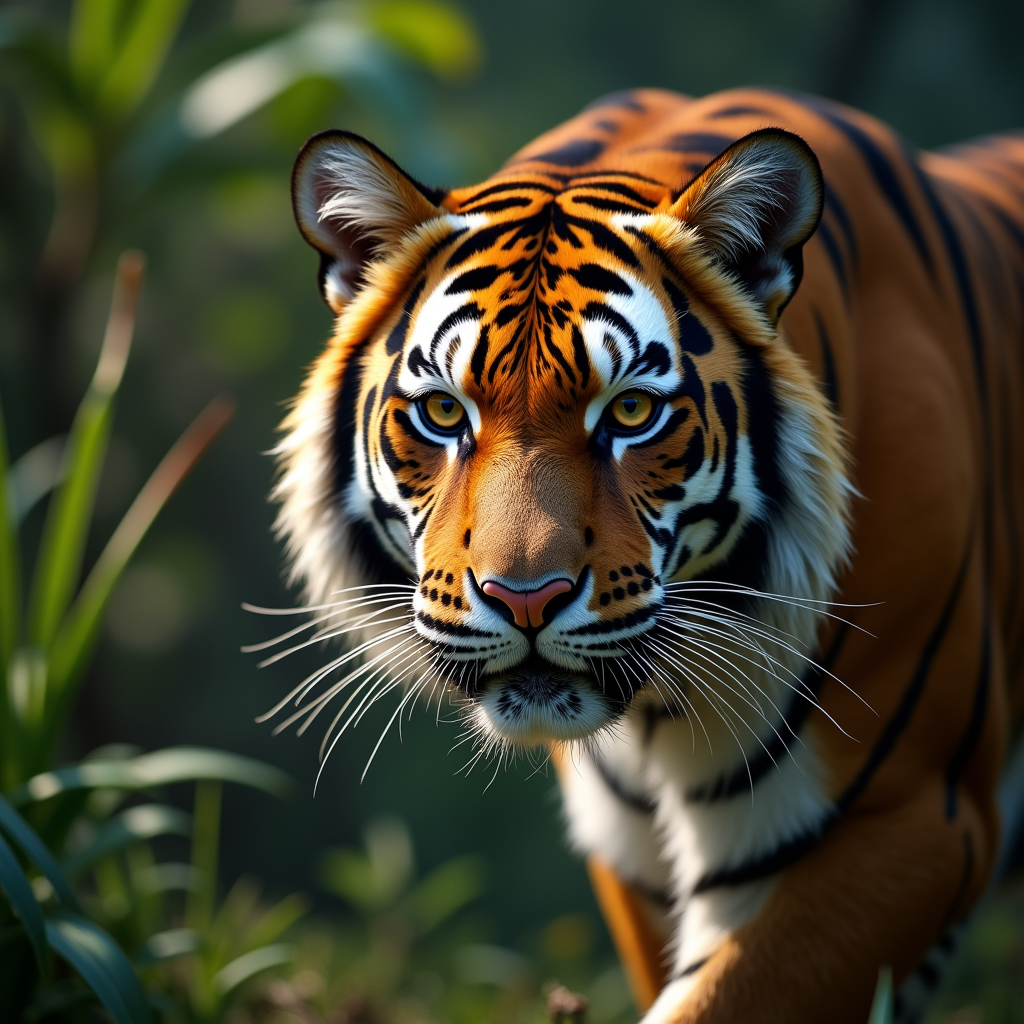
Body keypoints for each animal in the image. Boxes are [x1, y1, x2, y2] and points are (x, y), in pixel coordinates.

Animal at [268, 87, 1024, 1023]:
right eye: (444, 413)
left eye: (630, 412)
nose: (524, 598)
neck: (655, 722)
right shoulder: (633, 859)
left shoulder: (907, 817)